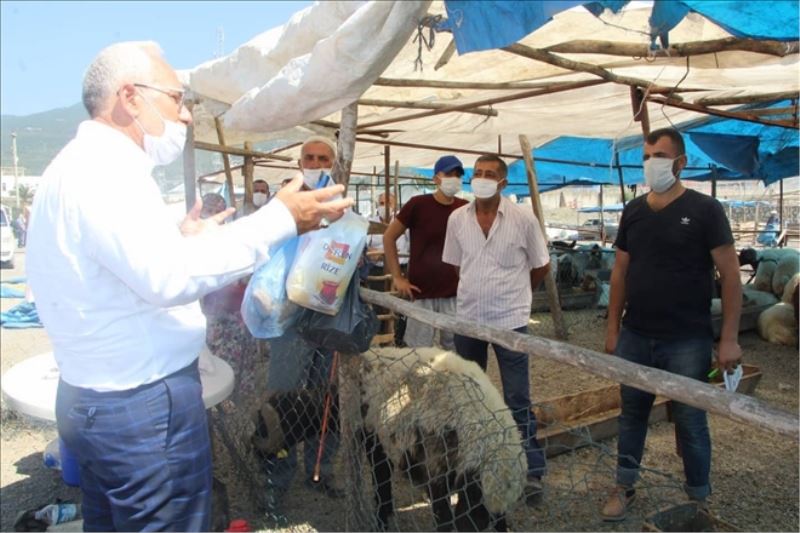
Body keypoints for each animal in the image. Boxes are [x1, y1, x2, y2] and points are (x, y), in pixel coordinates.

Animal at [250, 348, 524, 528]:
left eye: (288, 419)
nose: (255, 448)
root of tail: (501, 456)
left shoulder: (376, 444)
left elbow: (382, 485)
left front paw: (381, 519)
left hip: (455, 488)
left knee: (450, 522)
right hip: (491, 504)